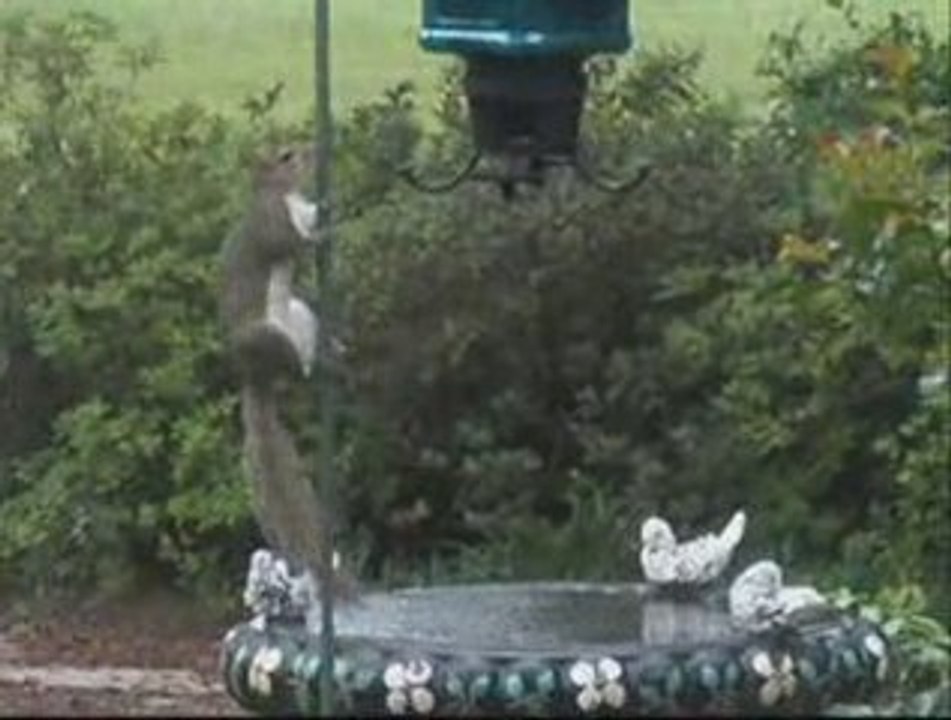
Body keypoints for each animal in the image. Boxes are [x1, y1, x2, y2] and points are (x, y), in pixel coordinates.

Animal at [221, 144, 356, 602]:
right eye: (286, 156)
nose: (317, 152)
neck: (285, 195)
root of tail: (253, 373)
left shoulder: (299, 210)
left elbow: (311, 215)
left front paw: (327, 208)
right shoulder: (272, 225)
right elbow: (291, 242)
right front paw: (324, 235)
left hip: (302, 316)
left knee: (310, 362)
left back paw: (336, 354)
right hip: (269, 339)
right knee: (301, 373)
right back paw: (325, 366)